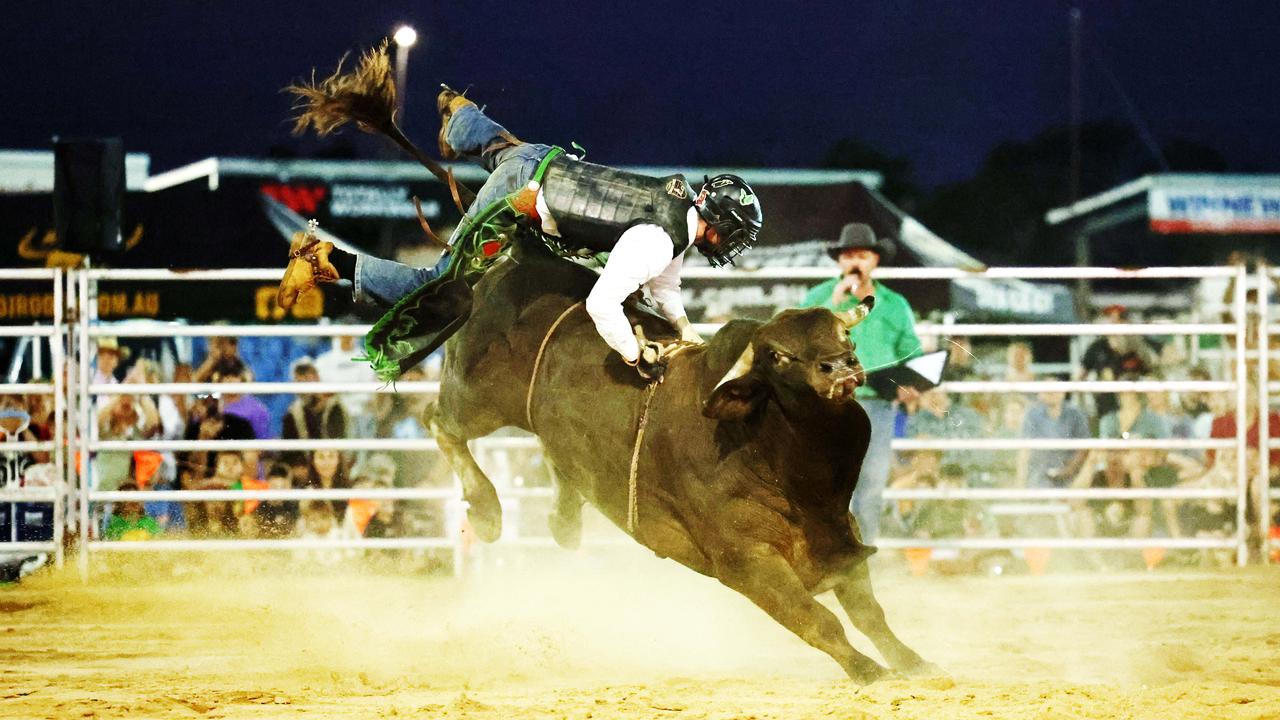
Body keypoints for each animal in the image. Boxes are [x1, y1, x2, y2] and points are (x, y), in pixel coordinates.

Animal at [424, 237, 936, 676]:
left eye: (846, 338)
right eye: (777, 355)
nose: (842, 367)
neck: (769, 455)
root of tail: (515, 259)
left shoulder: (841, 533)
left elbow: (870, 613)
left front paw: (915, 663)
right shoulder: (746, 562)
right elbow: (818, 622)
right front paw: (871, 672)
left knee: (559, 463)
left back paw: (563, 522)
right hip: (477, 398)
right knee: (439, 421)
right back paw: (487, 511)